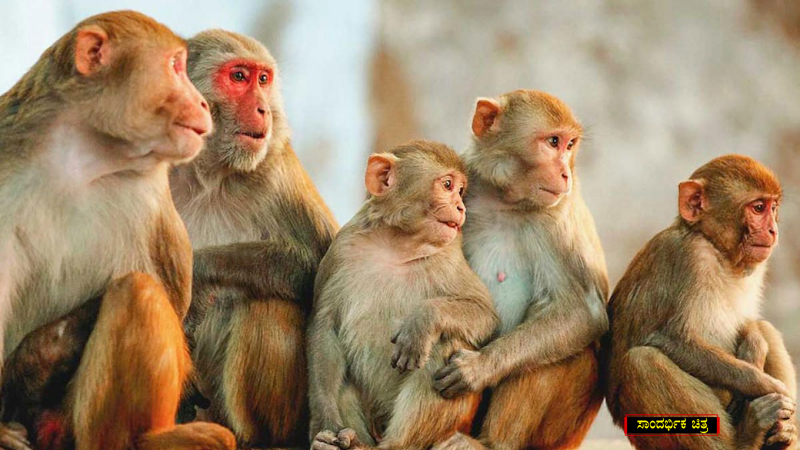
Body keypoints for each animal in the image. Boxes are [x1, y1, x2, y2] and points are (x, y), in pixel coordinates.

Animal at [0, 11, 236, 450]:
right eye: (175, 66)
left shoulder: (150, 195)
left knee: (137, 291)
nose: (201, 102)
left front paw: (34, 360)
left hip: (73, 425)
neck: (84, 158)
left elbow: (171, 297)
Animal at [167, 29, 339, 448]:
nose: (263, 109)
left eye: (263, 79)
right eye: (239, 77)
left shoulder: (276, 169)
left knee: (266, 301)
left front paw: (199, 273)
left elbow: (322, 267)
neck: (207, 174)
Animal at [308, 140, 499, 450]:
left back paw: (391, 445)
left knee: (445, 343)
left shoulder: (449, 257)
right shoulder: (341, 248)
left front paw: (422, 322)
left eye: (460, 191)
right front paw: (324, 424)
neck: (397, 246)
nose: (460, 207)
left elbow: (484, 314)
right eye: (448, 185)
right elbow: (325, 328)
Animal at [430, 90, 609, 450]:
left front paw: (478, 368)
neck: (505, 200)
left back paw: (489, 444)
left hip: (561, 433)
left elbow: (584, 312)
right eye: (553, 142)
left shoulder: (556, 218)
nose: (566, 174)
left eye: (570, 145)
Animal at [604, 154, 797, 450]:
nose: (773, 230)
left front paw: (754, 346)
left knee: (768, 330)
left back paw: (781, 435)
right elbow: (674, 339)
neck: (717, 251)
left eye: (773, 207)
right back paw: (746, 436)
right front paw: (765, 384)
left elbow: (751, 324)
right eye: (758, 208)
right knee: (642, 362)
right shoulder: (691, 257)